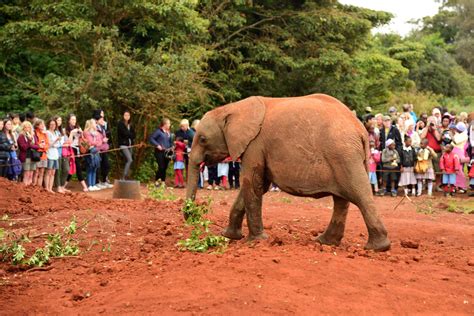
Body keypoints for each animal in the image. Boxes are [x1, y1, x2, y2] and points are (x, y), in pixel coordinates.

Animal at [185, 94, 388, 252]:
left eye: (202, 139)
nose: (192, 217)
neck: (232, 108)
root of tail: (362, 130)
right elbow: (256, 186)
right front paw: (229, 236)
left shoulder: (255, 145)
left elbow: (252, 184)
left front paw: (256, 241)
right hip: (345, 157)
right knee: (342, 200)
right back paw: (325, 243)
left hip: (343, 156)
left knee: (359, 195)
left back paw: (377, 248)